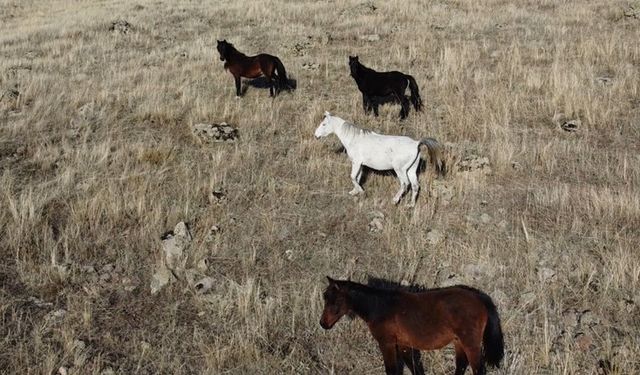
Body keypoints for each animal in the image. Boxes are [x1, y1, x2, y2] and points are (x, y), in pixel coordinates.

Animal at [316, 111, 444, 207]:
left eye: (324, 124)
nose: (316, 135)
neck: (354, 139)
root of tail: (416, 143)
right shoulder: (361, 164)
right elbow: (357, 177)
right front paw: (354, 191)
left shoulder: (356, 162)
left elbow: (352, 177)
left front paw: (361, 192)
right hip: (411, 170)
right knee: (415, 186)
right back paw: (411, 205)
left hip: (400, 170)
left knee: (405, 183)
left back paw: (395, 200)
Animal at [320, 278, 504, 374]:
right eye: (325, 297)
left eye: (335, 301)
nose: (323, 324)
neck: (380, 307)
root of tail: (479, 298)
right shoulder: (404, 345)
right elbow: (415, 369)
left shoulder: (387, 344)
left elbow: (392, 370)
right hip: (459, 342)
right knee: (461, 366)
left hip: (470, 344)